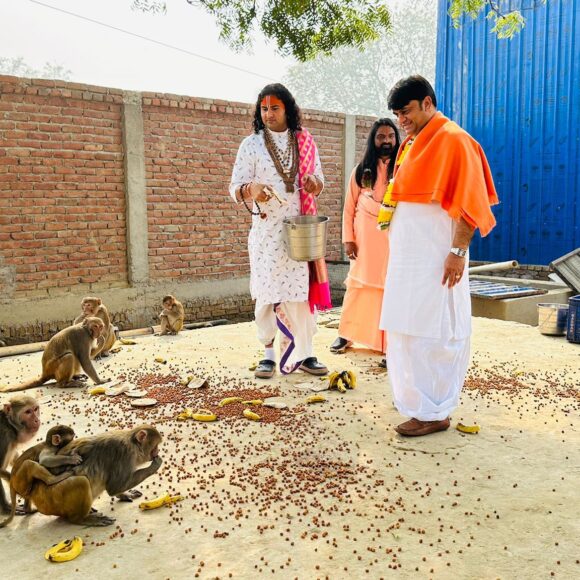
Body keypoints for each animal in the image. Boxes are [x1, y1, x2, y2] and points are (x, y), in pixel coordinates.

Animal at [2, 424, 162, 528]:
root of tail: (34, 491)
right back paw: (81, 519)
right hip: (49, 499)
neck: (132, 443)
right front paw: (154, 466)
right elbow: (114, 486)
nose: (157, 452)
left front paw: (125, 494)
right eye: (155, 446)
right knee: (81, 482)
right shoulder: (124, 453)